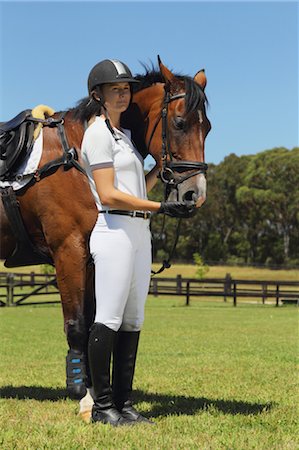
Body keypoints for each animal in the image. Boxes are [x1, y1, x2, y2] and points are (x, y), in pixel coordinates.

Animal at [0, 58, 211, 400]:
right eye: (180, 123)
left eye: (208, 128)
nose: (195, 195)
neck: (77, 153)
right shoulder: (69, 250)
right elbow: (77, 324)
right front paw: (81, 390)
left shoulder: (90, 258)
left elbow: (93, 323)